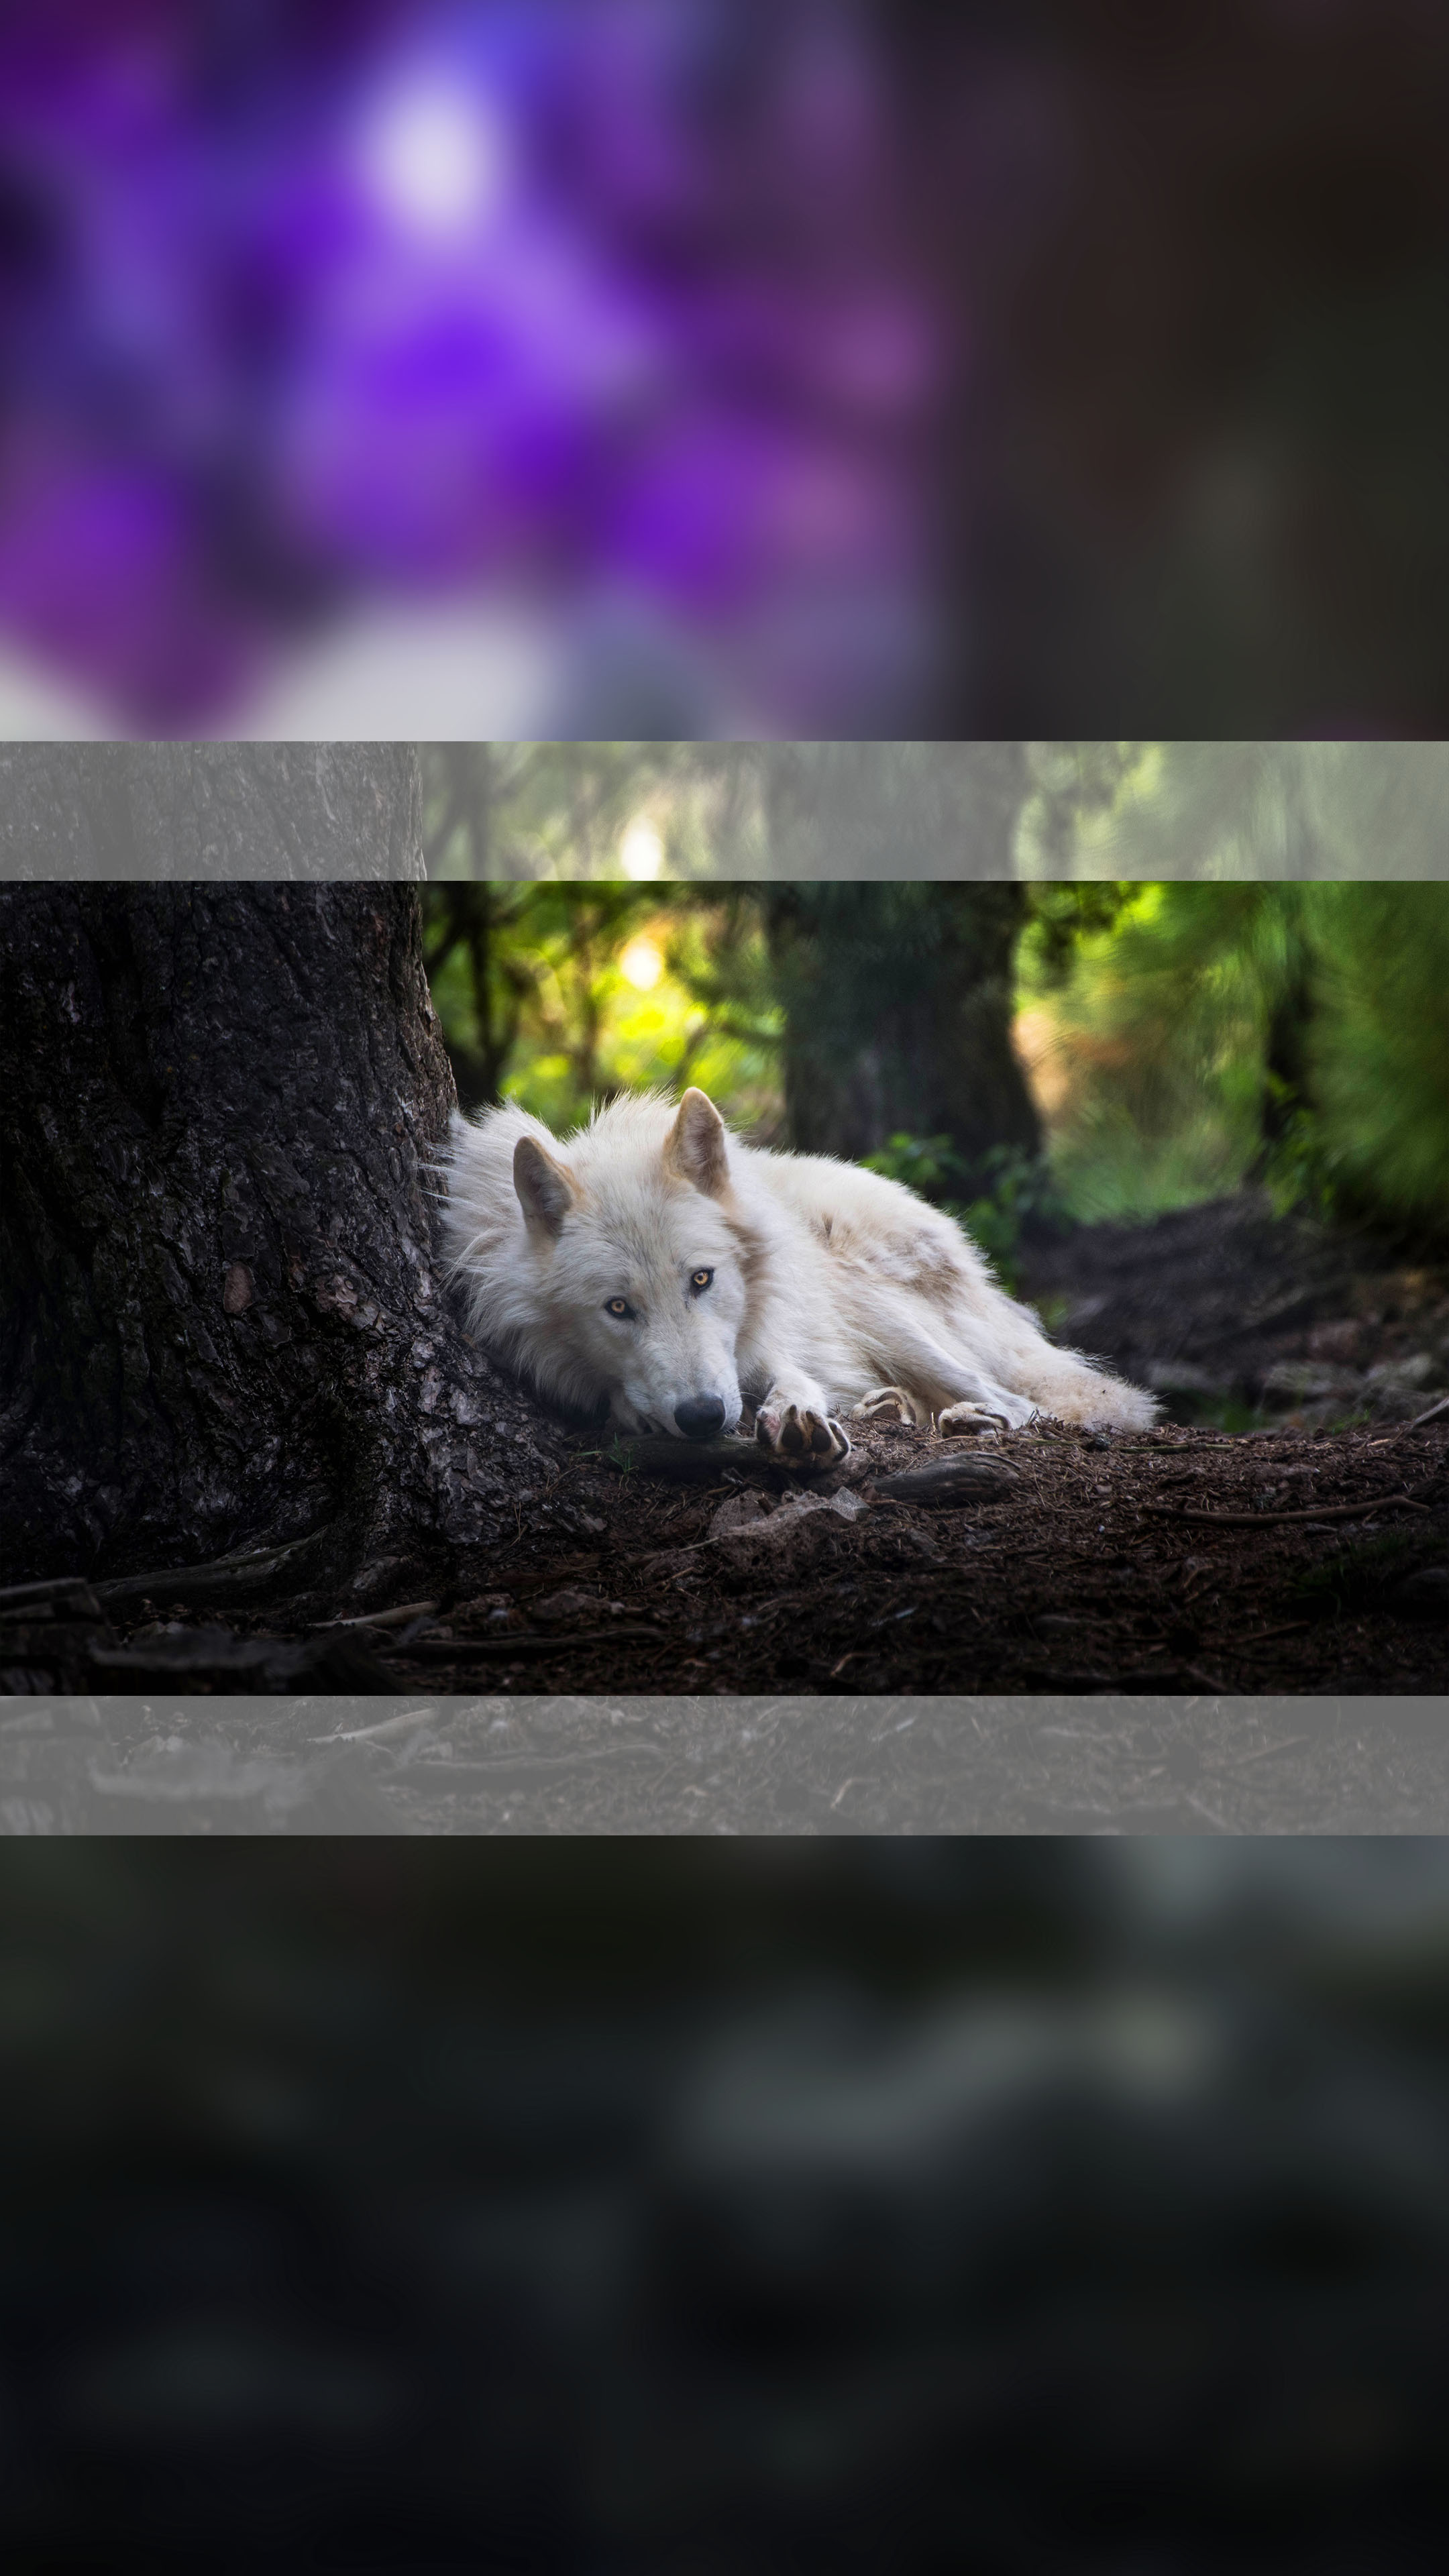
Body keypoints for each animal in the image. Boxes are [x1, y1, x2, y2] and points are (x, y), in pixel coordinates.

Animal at [441, 1088, 1155, 1460]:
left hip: (877, 1310)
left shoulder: (777, 1342)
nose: (702, 1417)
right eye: (618, 1308)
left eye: (702, 1280)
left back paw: (967, 1421)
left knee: (1024, 1404)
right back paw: (894, 1408)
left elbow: (792, 1380)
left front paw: (796, 1420)